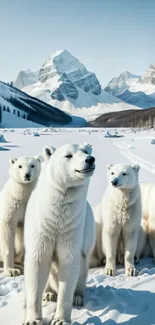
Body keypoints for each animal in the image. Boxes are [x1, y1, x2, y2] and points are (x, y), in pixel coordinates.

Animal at [23, 144, 95, 324]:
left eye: (86, 151)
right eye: (68, 155)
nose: (90, 160)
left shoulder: (71, 228)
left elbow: (69, 264)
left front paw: (60, 319)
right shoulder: (42, 227)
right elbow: (38, 262)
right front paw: (33, 319)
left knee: (82, 267)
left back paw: (78, 297)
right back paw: (48, 293)